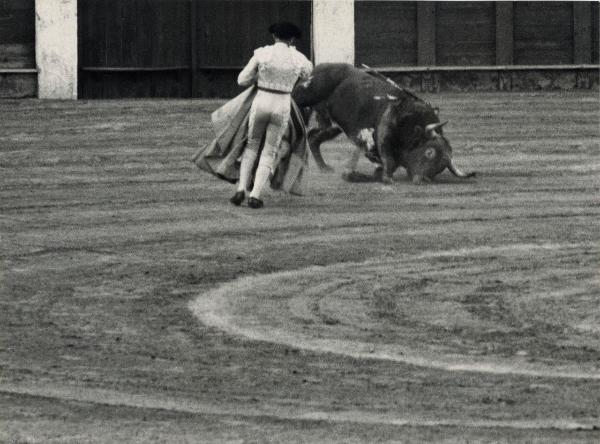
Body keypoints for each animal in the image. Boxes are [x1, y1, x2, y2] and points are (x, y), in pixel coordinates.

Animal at [292, 62, 476, 184]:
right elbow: (388, 161)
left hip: (331, 126)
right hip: (303, 98)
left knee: (313, 138)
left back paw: (322, 167)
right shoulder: (378, 136)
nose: (424, 179)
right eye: (429, 152)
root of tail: (316, 68)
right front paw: (385, 178)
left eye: (442, 166)